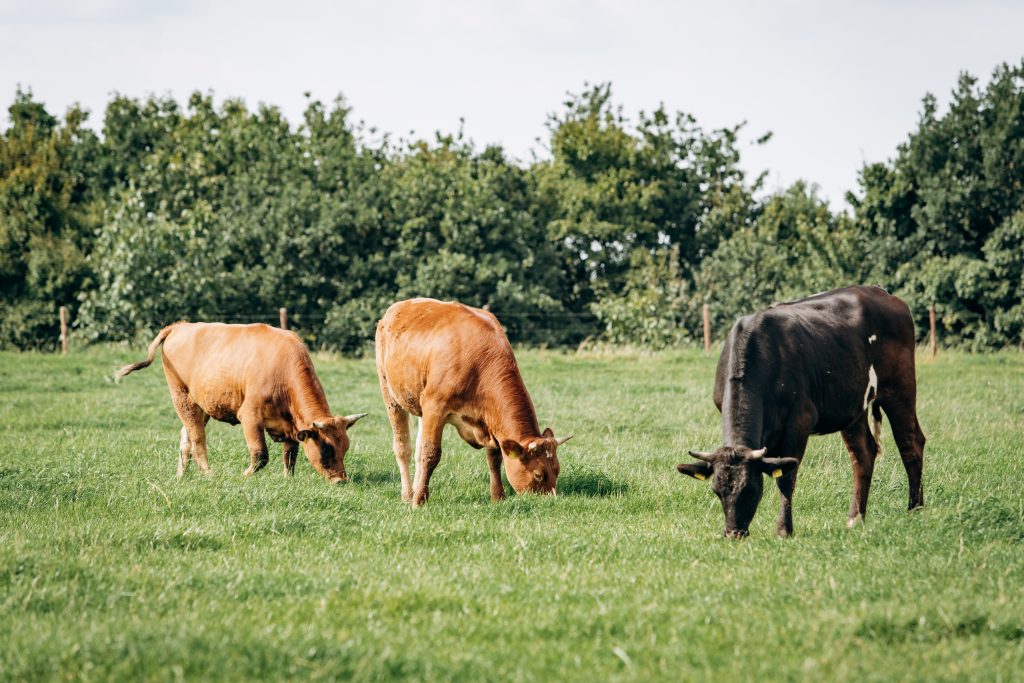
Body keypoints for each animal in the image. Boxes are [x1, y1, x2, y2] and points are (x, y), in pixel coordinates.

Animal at [114, 323, 368, 483]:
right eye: (326, 449)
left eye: (344, 448)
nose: (340, 480)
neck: (282, 368)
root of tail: (181, 326)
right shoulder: (250, 416)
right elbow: (260, 454)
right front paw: (243, 477)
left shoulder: (290, 425)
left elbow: (290, 455)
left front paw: (289, 480)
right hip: (182, 397)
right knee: (197, 439)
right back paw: (208, 474)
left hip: (202, 405)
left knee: (185, 437)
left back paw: (181, 476)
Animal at [374, 299, 573, 507]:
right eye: (539, 475)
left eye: (557, 470)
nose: (550, 502)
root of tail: (399, 305)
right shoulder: (435, 407)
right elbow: (430, 454)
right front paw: (419, 501)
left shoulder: (488, 420)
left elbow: (494, 457)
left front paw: (498, 496)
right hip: (389, 392)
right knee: (403, 447)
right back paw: (408, 495)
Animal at [675, 286, 925, 536]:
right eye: (716, 491)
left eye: (751, 489)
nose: (734, 533)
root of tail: (884, 294)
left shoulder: (799, 422)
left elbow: (786, 479)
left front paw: (784, 529)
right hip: (852, 407)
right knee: (863, 453)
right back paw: (855, 518)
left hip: (899, 388)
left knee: (910, 443)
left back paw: (915, 510)